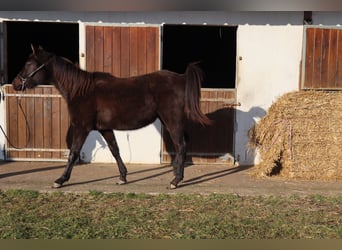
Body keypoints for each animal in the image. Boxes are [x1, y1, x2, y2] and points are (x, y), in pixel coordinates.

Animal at [12, 45, 210, 189]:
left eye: (29, 64)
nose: (15, 84)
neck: (81, 90)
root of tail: (181, 78)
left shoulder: (81, 127)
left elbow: (73, 153)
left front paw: (60, 180)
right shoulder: (105, 128)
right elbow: (115, 150)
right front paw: (122, 177)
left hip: (172, 121)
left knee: (181, 146)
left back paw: (175, 181)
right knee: (182, 146)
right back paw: (176, 175)